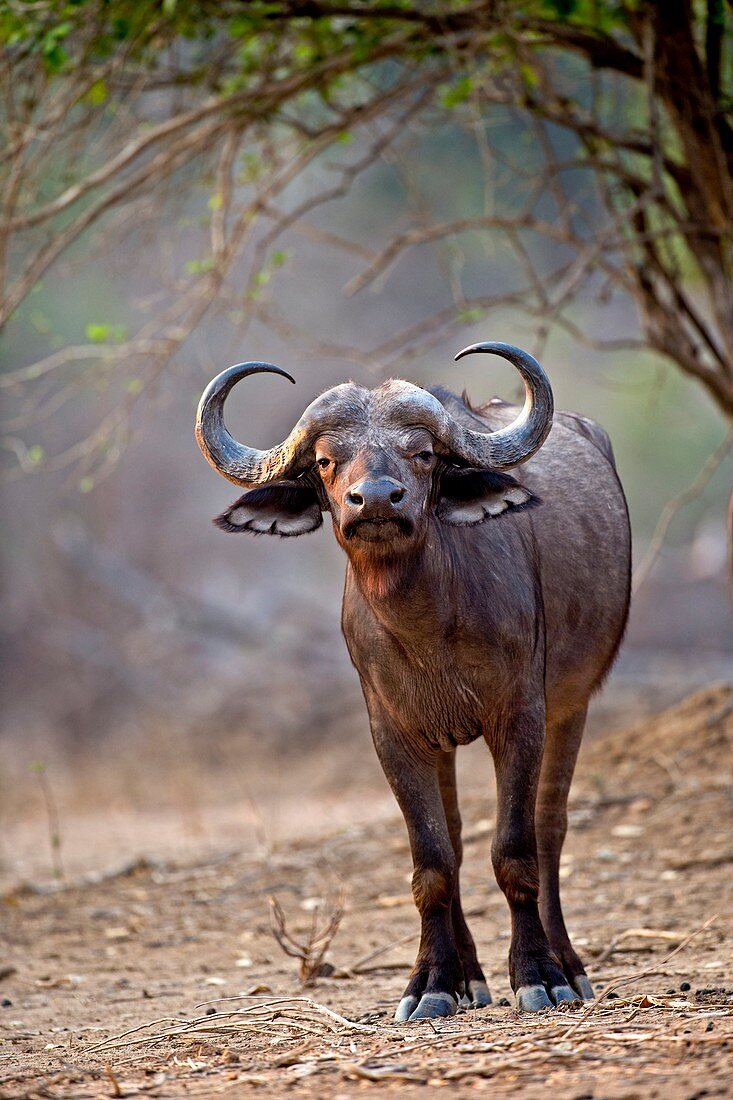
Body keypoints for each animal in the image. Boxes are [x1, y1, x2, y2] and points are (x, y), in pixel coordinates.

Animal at [197, 341, 629, 1020]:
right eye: (325, 460)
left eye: (423, 453)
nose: (376, 499)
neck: (431, 630)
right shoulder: (395, 734)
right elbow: (433, 862)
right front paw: (431, 984)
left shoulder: (521, 717)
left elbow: (516, 850)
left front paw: (539, 975)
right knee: (455, 840)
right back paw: (470, 977)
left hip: (573, 704)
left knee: (550, 827)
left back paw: (569, 965)